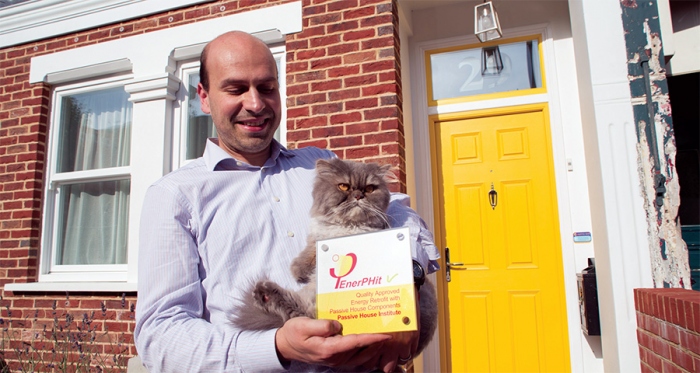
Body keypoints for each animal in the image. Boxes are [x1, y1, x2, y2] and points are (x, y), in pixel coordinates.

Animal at [231, 157, 438, 354]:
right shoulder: (319, 238)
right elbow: (310, 251)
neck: (345, 227)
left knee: (305, 313)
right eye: (344, 186)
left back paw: (265, 293)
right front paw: (299, 269)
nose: (358, 195)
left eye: (370, 189)